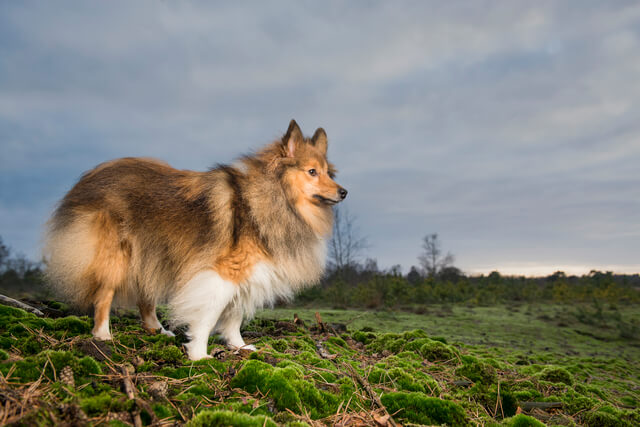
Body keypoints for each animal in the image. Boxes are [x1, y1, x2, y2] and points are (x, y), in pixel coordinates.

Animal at [45, 121, 348, 362]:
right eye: (311, 172)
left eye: (328, 172)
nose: (344, 192)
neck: (275, 197)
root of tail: (87, 179)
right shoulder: (223, 273)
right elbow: (209, 315)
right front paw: (199, 354)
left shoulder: (246, 274)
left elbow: (234, 316)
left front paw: (239, 346)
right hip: (117, 256)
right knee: (104, 296)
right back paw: (103, 336)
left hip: (151, 252)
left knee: (146, 295)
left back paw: (157, 329)